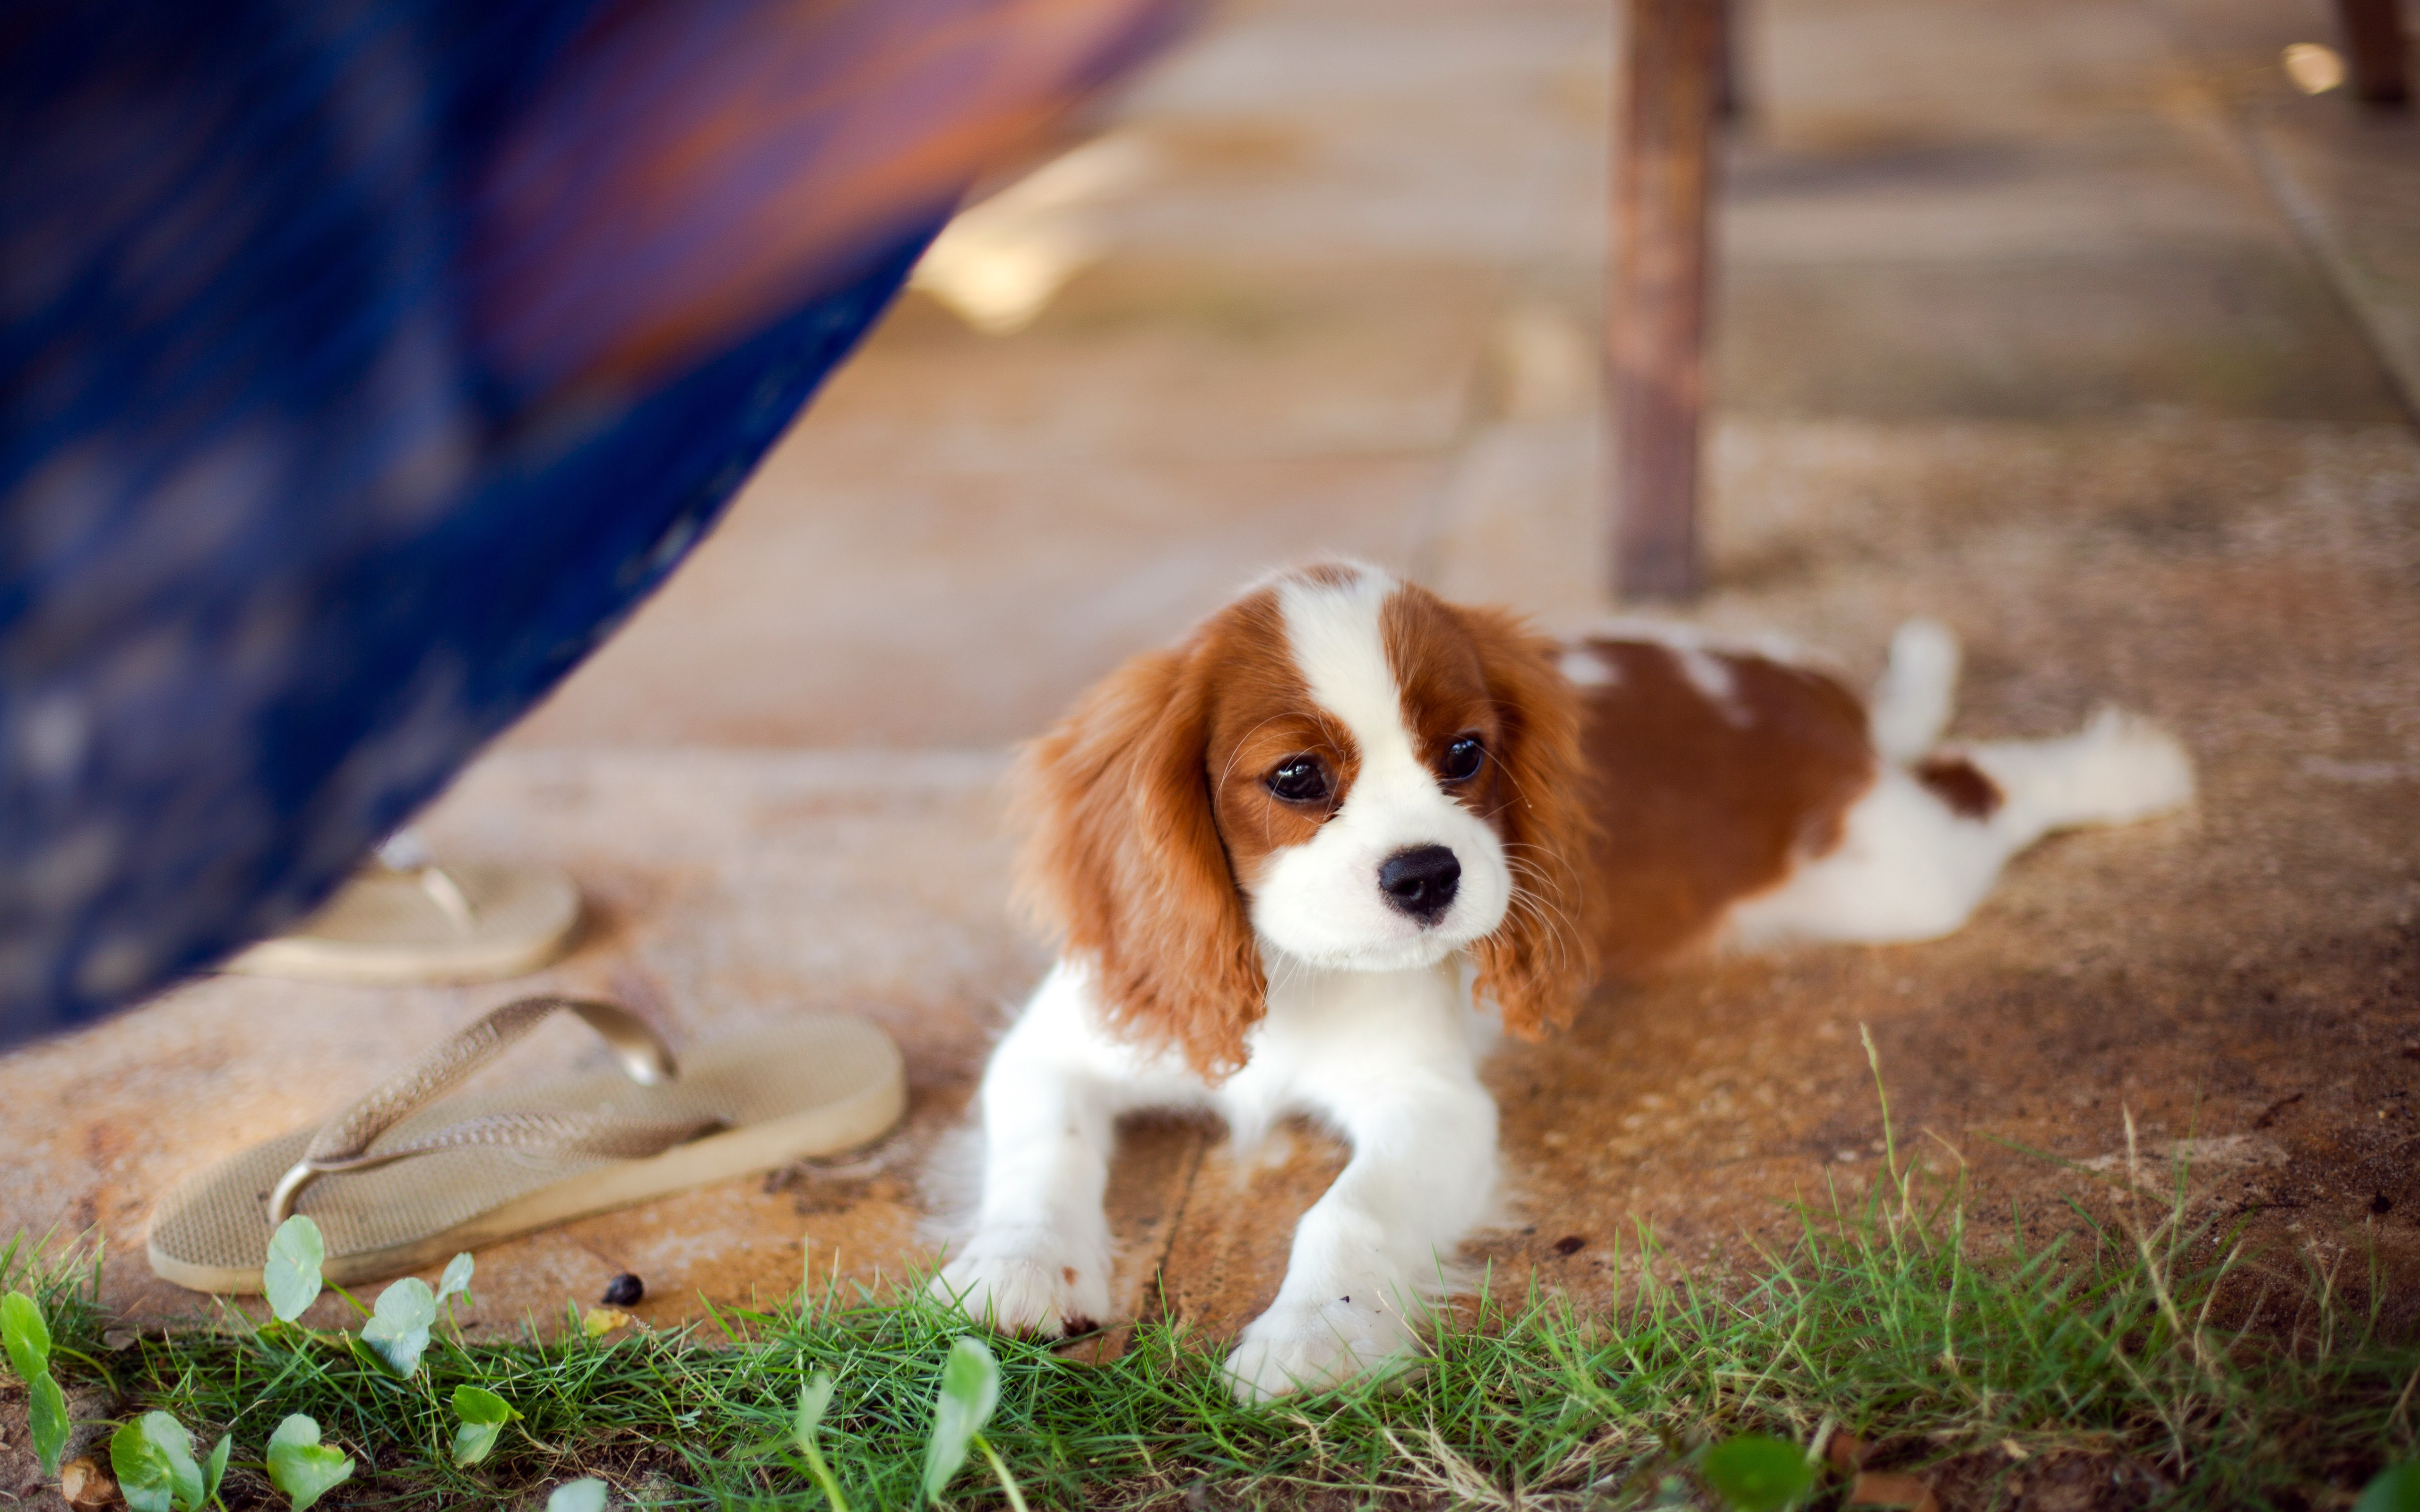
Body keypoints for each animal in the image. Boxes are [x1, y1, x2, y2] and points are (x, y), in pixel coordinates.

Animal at [934, 561, 2207, 1393]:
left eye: (1465, 756)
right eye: (1295, 777)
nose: (1428, 874)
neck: (1299, 970)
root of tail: (1809, 704)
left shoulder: (1436, 1111)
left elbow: (1347, 1211)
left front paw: (1316, 1340)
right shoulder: (1064, 1040)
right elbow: (1041, 1149)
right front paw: (1014, 1270)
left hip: (1897, 876)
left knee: (1980, 784)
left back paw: (2129, 766)